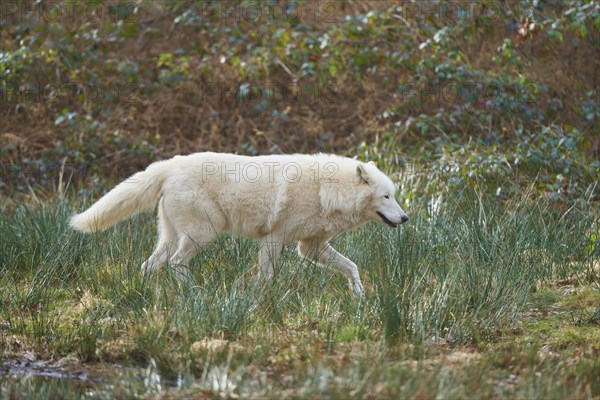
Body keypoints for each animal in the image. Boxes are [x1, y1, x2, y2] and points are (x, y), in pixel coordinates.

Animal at [70, 152, 408, 296]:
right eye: (387, 196)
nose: (405, 218)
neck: (326, 189)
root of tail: (169, 165)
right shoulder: (274, 238)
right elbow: (267, 276)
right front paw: (256, 298)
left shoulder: (309, 247)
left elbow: (351, 266)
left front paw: (359, 295)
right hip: (203, 234)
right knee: (177, 264)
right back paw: (196, 292)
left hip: (171, 238)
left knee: (149, 266)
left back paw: (145, 293)